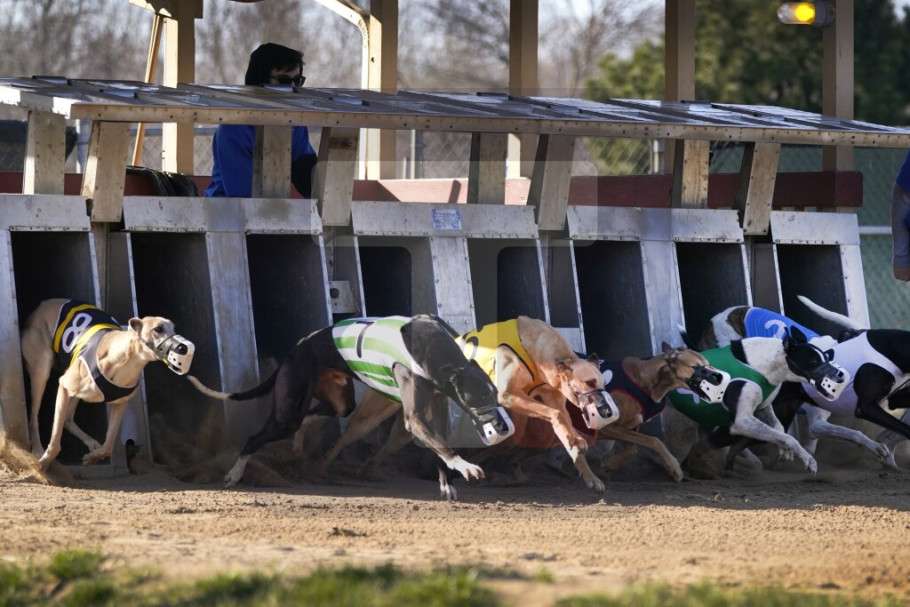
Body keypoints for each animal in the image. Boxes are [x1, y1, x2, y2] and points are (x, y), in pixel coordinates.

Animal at [20, 298, 194, 470]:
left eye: (173, 328)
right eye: (158, 329)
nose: (183, 348)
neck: (123, 363)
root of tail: (41, 306)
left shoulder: (120, 404)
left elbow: (108, 446)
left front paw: (93, 457)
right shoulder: (64, 385)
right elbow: (55, 441)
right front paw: (43, 462)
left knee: (68, 419)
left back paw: (91, 443)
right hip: (42, 369)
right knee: (33, 417)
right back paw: (37, 449)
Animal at [186, 315, 514, 494]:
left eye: (494, 394)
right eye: (480, 397)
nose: (503, 427)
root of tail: (295, 350)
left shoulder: (437, 401)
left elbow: (439, 441)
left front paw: (450, 478)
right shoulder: (415, 416)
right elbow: (437, 440)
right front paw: (467, 466)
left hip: (337, 400)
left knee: (311, 418)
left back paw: (297, 445)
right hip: (287, 411)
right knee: (257, 437)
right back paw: (234, 474)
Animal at [313, 316, 619, 494]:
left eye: (602, 383)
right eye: (590, 382)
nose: (606, 411)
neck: (537, 349)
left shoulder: (550, 396)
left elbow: (562, 426)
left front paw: (589, 475)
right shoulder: (507, 396)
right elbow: (555, 414)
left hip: (405, 428)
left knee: (387, 447)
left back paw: (366, 471)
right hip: (371, 415)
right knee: (340, 440)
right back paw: (318, 469)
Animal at [667, 326, 849, 477]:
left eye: (826, 358)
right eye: (813, 361)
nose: (840, 377)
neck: (760, 364)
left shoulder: (764, 408)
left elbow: (780, 429)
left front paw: (785, 451)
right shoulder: (742, 421)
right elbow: (789, 438)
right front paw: (808, 460)